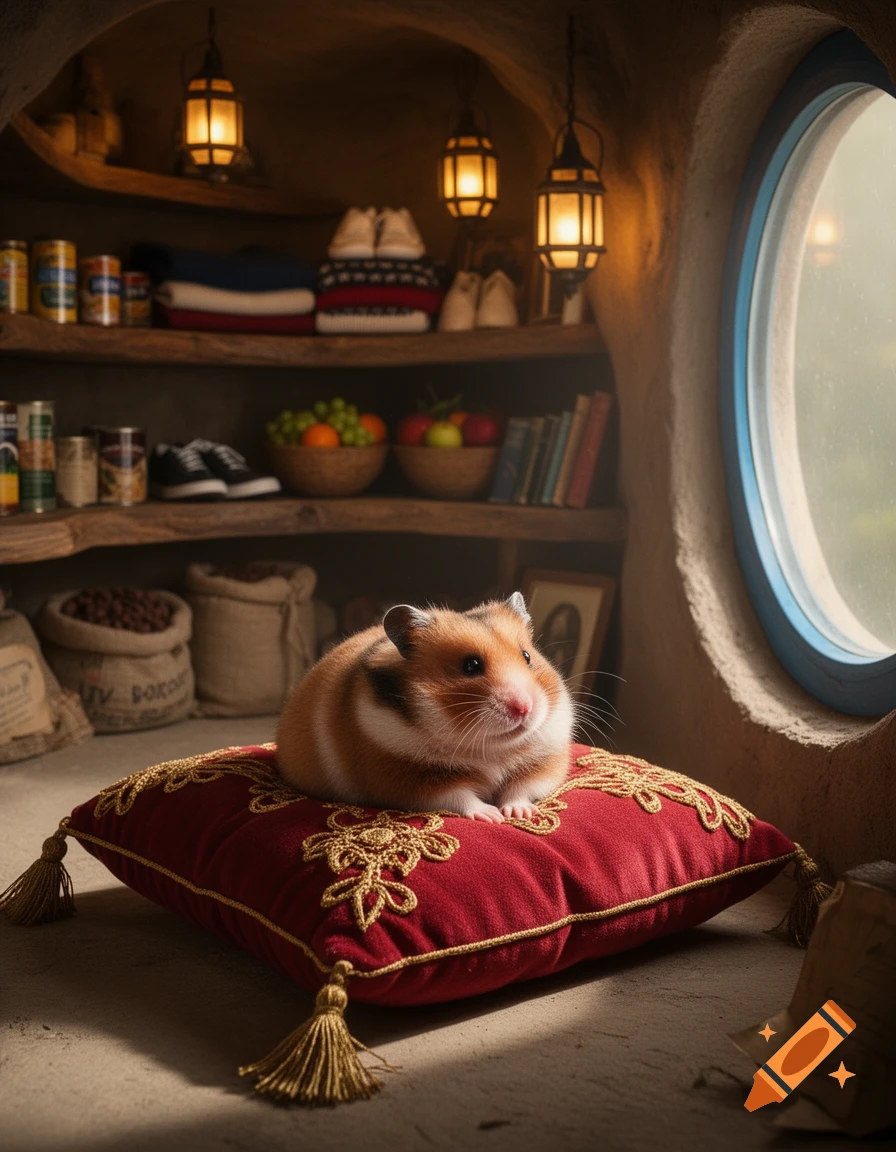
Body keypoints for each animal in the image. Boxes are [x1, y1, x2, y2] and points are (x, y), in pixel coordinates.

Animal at [276, 592, 574, 822]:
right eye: (471, 666)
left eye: (527, 657)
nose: (524, 708)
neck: (488, 748)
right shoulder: (410, 778)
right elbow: (460, 796)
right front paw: (491, 816)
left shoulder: (545, 761)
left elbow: (521, 787)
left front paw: (518, 813)